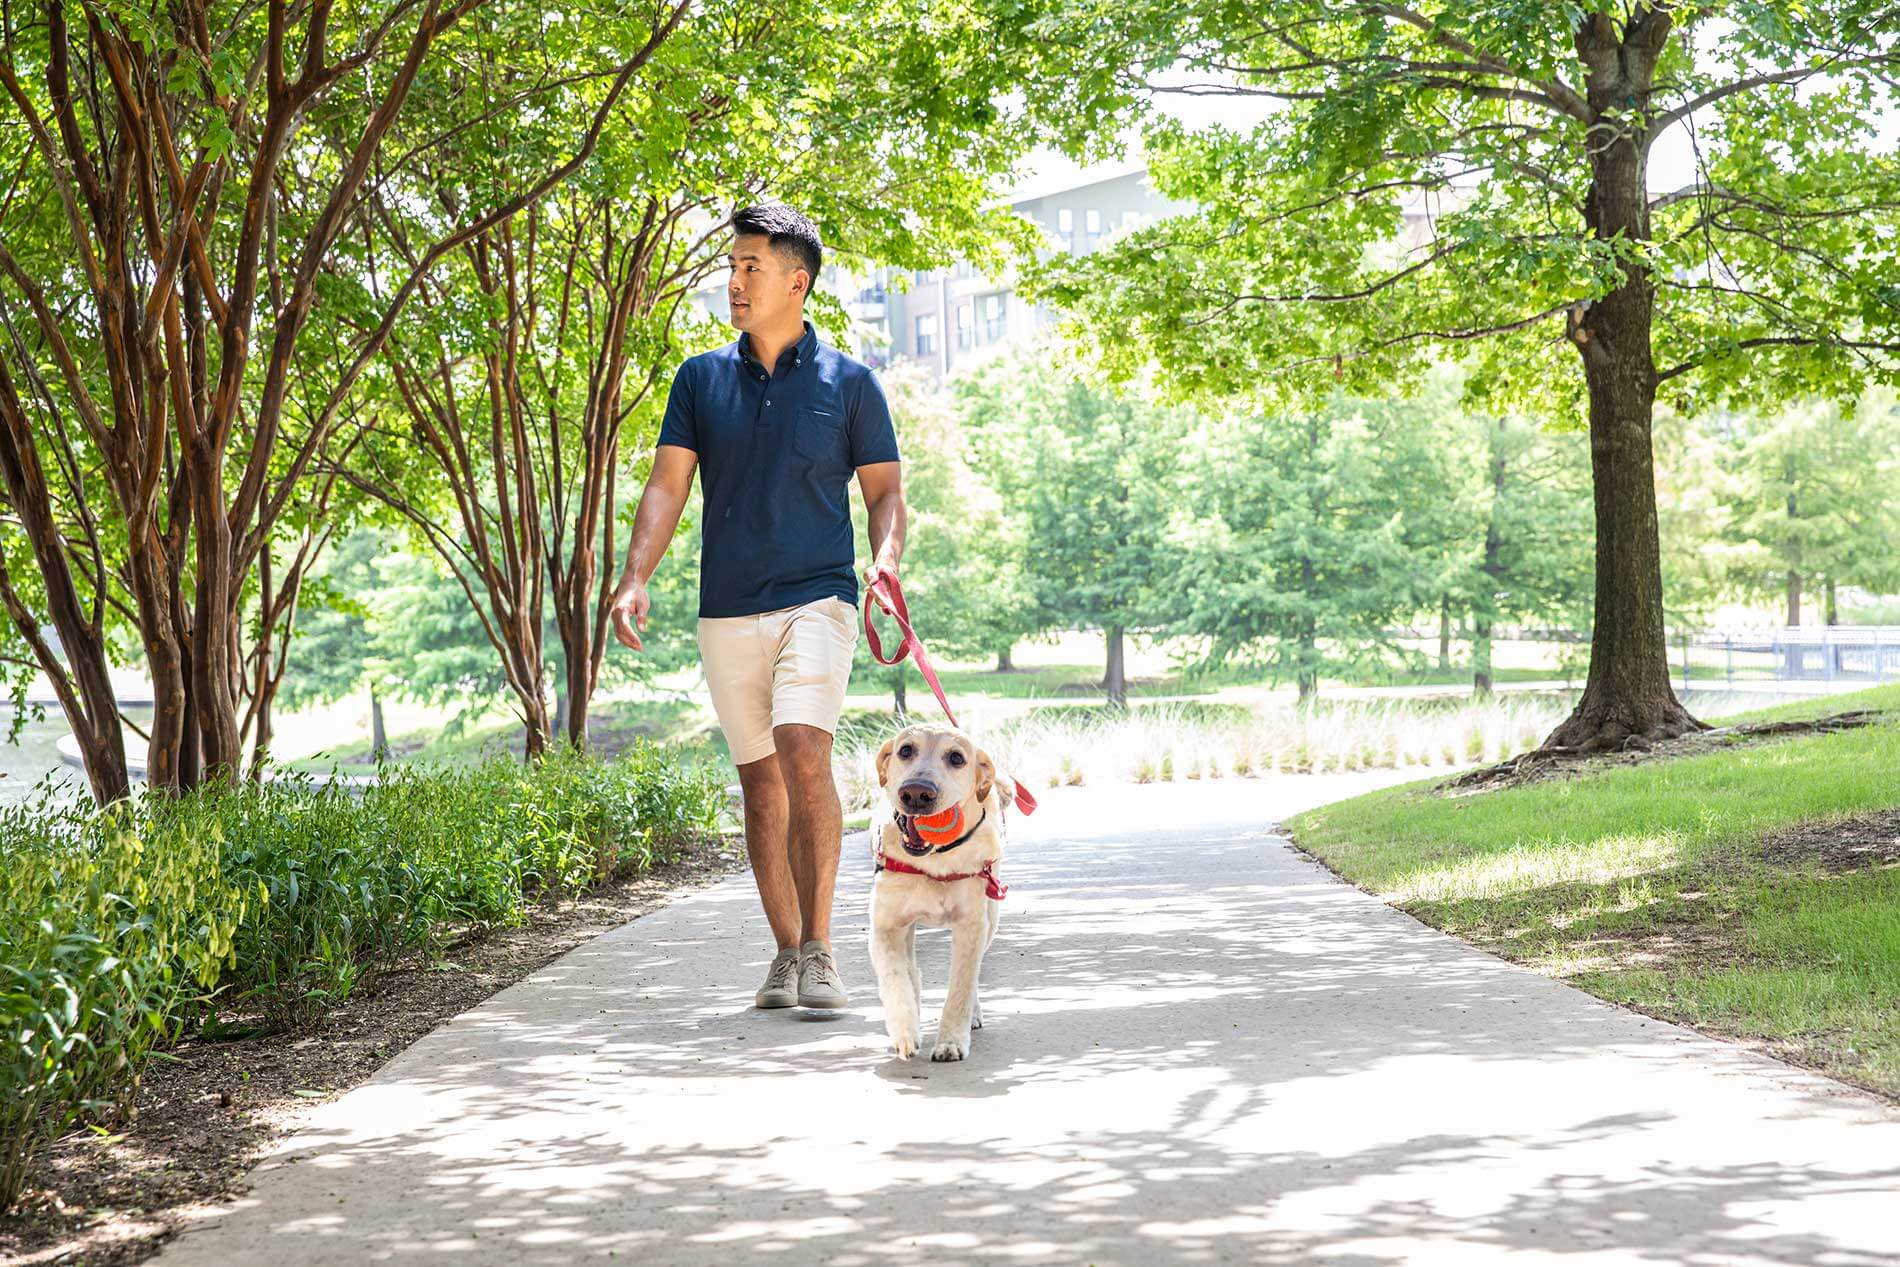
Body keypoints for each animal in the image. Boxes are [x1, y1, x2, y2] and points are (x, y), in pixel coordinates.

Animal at [870, 721, 1018, 1063]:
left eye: (956, 758)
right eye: (905, 750)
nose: (915, 792)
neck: (935, 861)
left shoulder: (971, 927)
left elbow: (961, 988)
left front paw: (951, 1041)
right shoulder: (885, 925)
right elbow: (895, 979)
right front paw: (905, 1031)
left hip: (992, 915)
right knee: (910, 970)